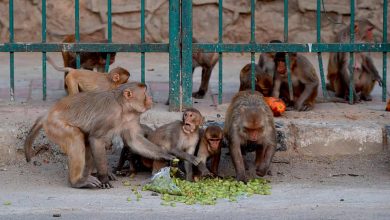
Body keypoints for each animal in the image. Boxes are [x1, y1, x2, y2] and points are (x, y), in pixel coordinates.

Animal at [24, 82, 175, 189]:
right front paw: (103, 178)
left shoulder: (132, 117)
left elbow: (134, 140)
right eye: (144, 93)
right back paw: (77, 181)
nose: (150, 98)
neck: (123, 108)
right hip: (55, 125)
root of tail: (47, 114)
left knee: (86, 140)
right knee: (76, 137)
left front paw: (166, 155)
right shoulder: (109, 116)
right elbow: (96, 139)